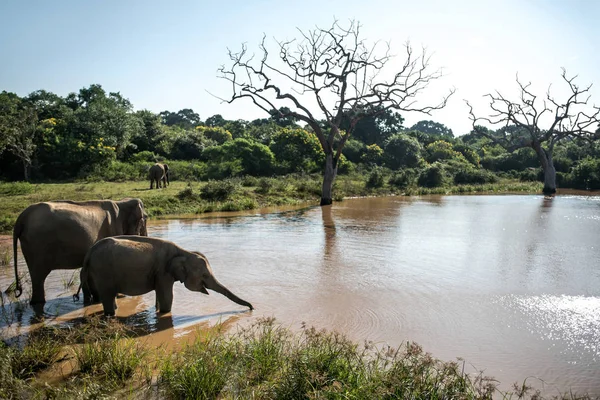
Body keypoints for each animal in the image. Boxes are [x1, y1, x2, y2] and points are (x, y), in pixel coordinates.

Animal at [12, 197, 148, 304]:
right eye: (146, 218)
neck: (121, 202)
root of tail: (21, 218)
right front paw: (119, 296)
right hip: (38, 246)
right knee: (39, 278)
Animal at [75, 234, 253, 316]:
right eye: (204, 275)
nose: (252, 308)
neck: (183, 252)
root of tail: (89, 253)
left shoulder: (159, 273)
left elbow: (161, 294)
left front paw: (158, 310)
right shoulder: (163, 272)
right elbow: (167, 295)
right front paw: (165, 313)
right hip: (103, 272)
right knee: (107, 294)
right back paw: (111, 314)